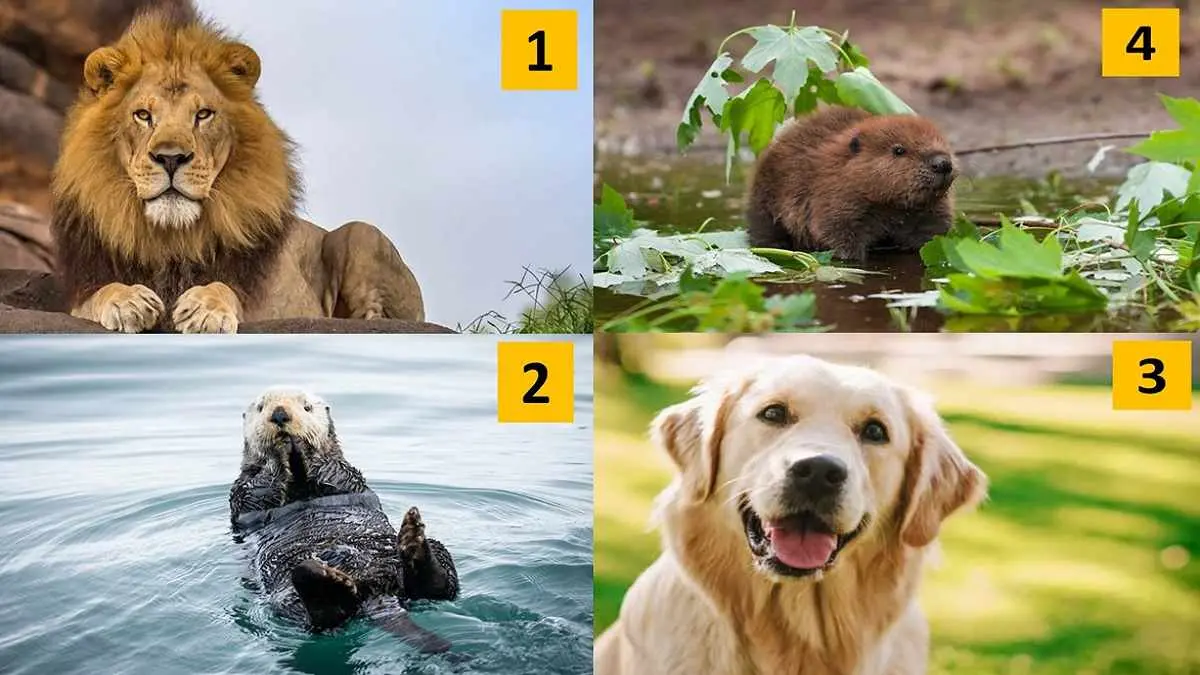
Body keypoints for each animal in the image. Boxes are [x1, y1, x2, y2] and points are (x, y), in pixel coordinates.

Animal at [50, 6, 425, 333]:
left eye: (203, 114)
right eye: (143, 115)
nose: (171, 158)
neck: (172, 238)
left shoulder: (261, 303)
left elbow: (225, 287)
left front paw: (205, 308)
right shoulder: (83, 288)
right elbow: (98, 294)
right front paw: (127, 301)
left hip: (360, 234)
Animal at [230, 387, 459, 653]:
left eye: (307, 407)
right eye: (261, 408)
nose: (279, 415)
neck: (300, 481)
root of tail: (375, 591)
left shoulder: (346, 474)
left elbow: (333, 470)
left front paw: (302, 447)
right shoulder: (244, 491)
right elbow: (259, 487)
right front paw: (281, 452)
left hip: (435, 556)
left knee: (439, 587)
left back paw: (413, 540)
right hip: (285, 596)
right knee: (324, 617)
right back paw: (325, 582)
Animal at [746, 106, 957, 262]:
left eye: (942, 142)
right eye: (899, 150)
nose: (943, 163)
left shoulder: (930, 212)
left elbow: (932, 232)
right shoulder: (833, 196)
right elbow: (834, 230)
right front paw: (851, 257)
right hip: (764, 202)